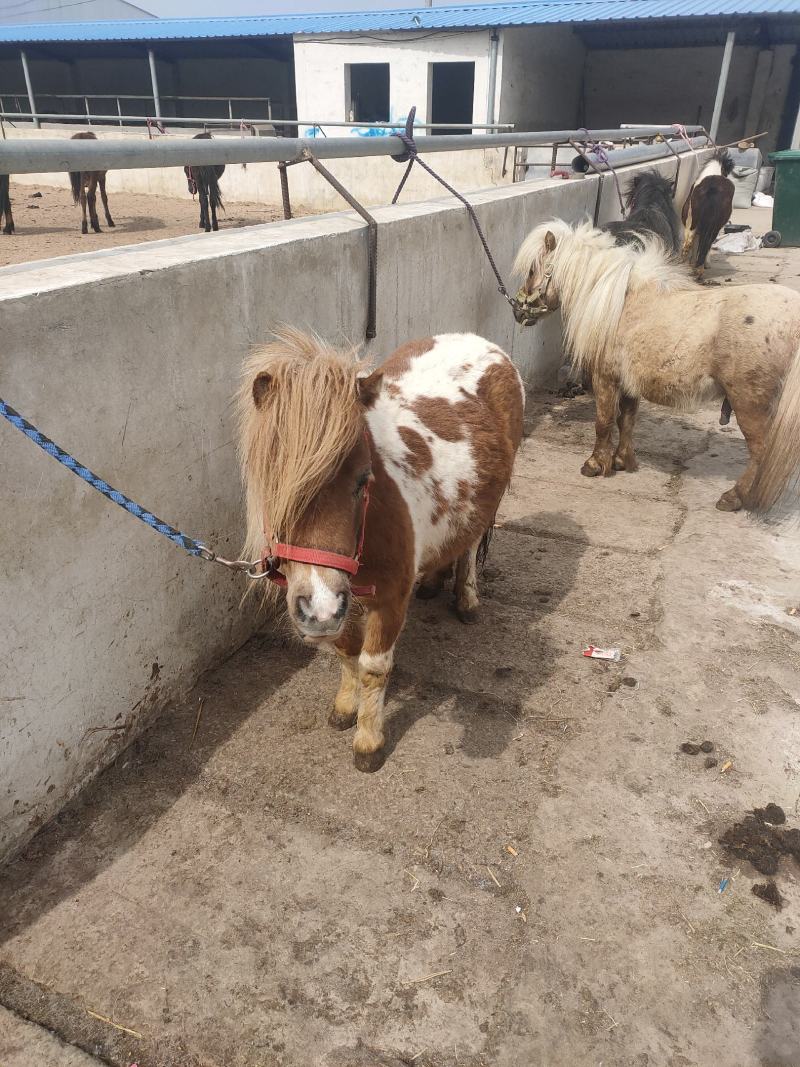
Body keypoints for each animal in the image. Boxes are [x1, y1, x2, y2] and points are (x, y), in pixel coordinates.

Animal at [237, 329, 524, 772]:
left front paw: (368, 742)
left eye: (363, 479)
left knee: (471, 544)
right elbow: (345, 652)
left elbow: (372, 667)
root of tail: (479, 341)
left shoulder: (388, 600)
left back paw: (466, 599)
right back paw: (433, 581)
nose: (317, 606)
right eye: (272, 487)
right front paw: (344, 707)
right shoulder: (340, 605)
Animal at [512, 219, 800, 514]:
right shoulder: (629, 384)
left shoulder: (606, 379)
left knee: (761, 452)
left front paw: (595, 465)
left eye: (533, 270)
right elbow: (626, 420)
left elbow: (603, 422)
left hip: (749, 404)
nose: (518, 310)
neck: (619, 302)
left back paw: (733, 497)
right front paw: (622, 461)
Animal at [681, 149, 734, 278]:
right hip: (713, 226)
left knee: (689, 242)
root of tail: (712, 189)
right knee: (705, 243)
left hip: (693, 224)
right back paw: (698, 269)